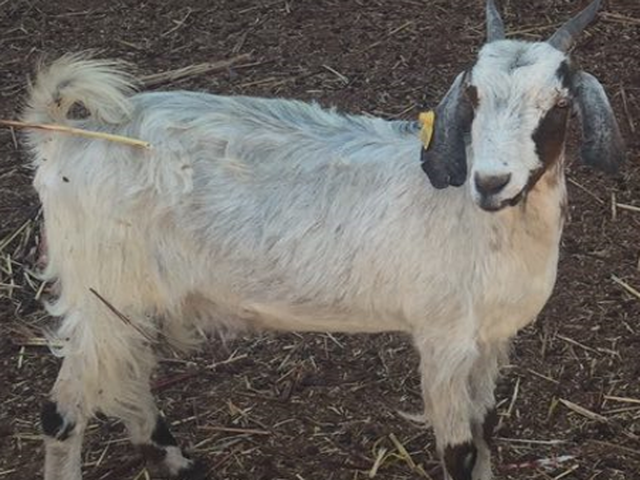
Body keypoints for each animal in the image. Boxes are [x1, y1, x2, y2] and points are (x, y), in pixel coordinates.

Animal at [23, 1, 623, 479]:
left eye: (559, 105)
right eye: (473, 95)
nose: (492, 181)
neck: (477, 223)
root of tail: (64, 136)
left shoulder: (491, 340)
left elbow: (486, 429)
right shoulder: (443, 338)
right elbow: (458, 450)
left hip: (131, 301)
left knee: (127, 387)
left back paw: (178, 462)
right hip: (100, 292)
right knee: (64, 411)